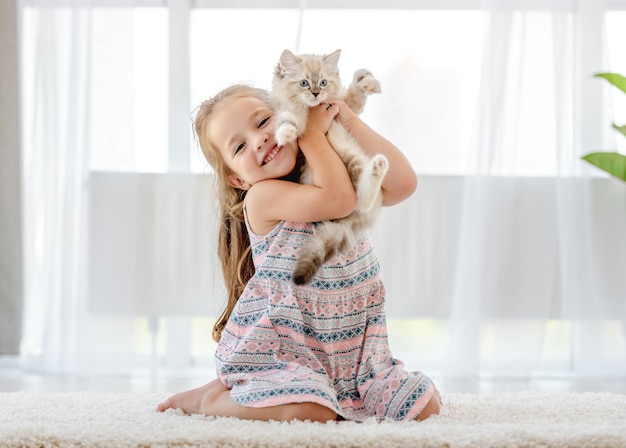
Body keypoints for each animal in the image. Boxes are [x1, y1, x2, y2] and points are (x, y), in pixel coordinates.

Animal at [270, 49, 388, 286]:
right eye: (304, 83)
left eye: (323, 82)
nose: (316, 94)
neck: (310, 109)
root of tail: (350, 223)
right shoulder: (292, 115)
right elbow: (287, 121)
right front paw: (285, 135)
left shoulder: (346, 107)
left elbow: (356, 89)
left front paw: (369, 83)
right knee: (362, 201)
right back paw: (378, 167)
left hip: (351, 157)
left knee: (364, 199)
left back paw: (378, 167)